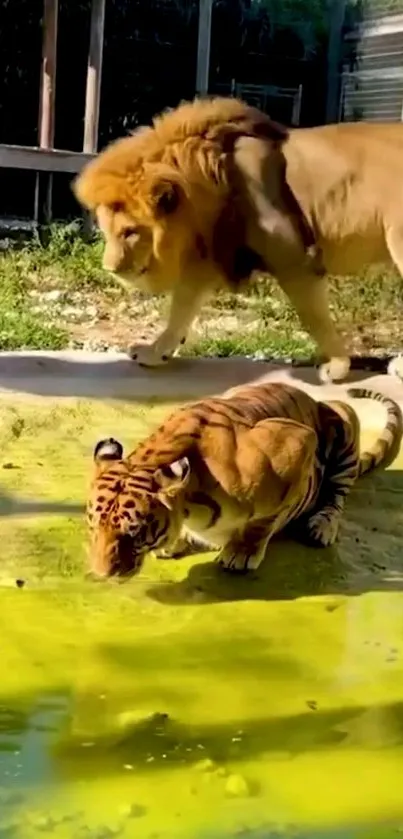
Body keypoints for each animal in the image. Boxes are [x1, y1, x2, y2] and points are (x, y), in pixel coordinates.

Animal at [72, 96, 403, 384]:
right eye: (105, 231)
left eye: (129, 232)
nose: (110, 269)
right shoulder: (206, 257)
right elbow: (180, 310)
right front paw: (156, 353)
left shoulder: (293, 255)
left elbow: (314, 318)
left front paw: (337, 366)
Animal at [87, 382, 402, 576]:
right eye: (93, 527)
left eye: (134, 533)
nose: (102, 574)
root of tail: (315, 399)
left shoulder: (297, 442)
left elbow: (262, 523)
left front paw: (240, 553)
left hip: (344, 416)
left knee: (336, 496)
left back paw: (320, 527)